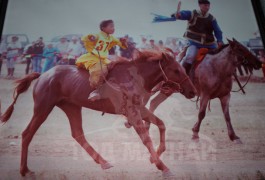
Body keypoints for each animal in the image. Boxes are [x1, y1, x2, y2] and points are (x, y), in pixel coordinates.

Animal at [0, 49, 196, 177]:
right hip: (43, 108)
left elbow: (161, 124)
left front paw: (157, 155)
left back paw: (104, 162)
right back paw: (24, 170)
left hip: (71, 107)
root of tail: (43, 75)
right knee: (27, 133)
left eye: (183, 69)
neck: (134, 76)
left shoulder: (140, 108)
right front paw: (162, 166)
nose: (193, 91)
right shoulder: (132, 112)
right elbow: (146, 138)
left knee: (78, 134)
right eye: (176, 70)